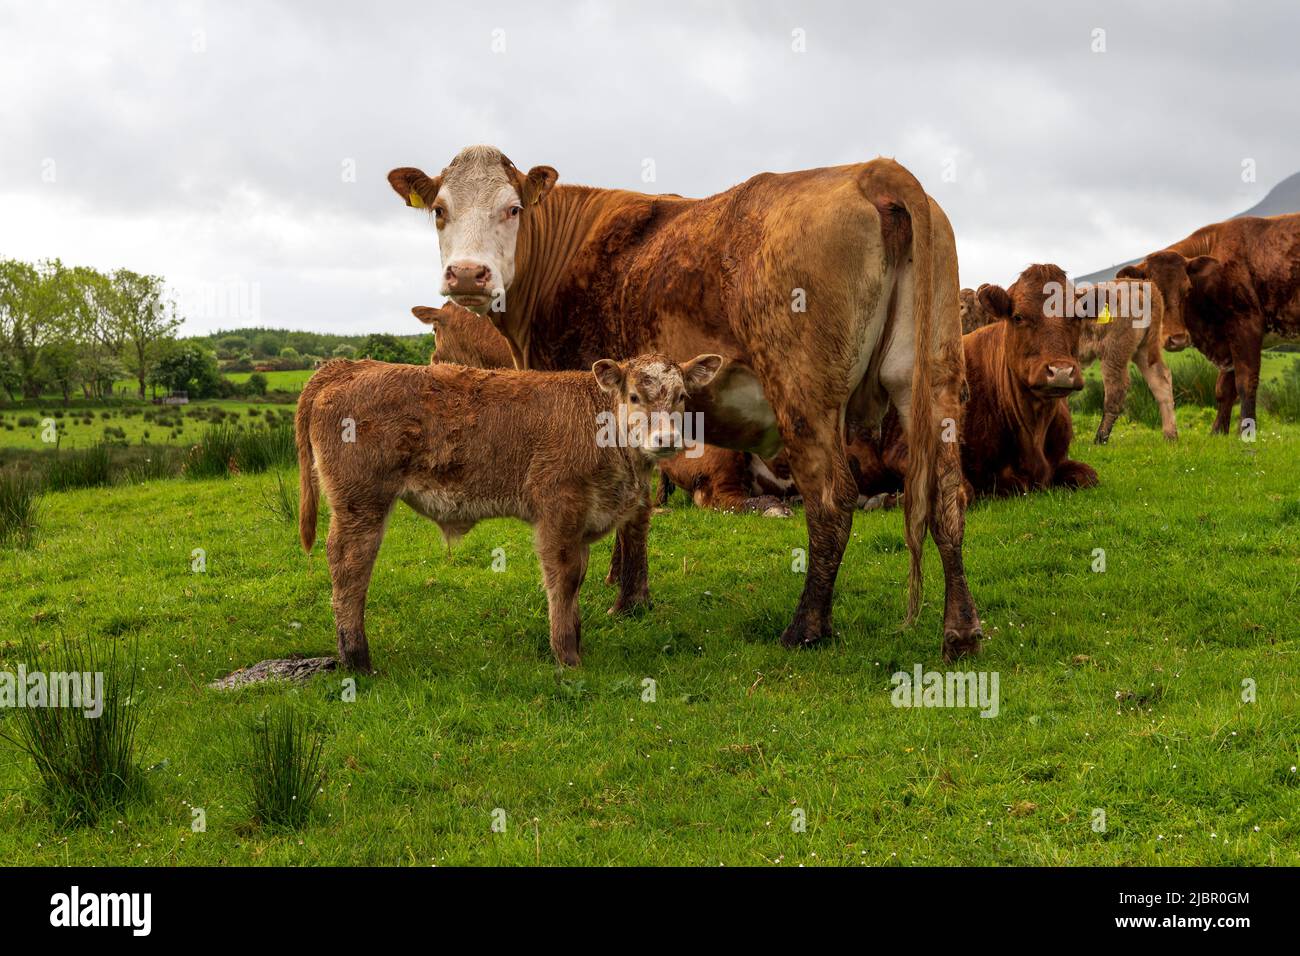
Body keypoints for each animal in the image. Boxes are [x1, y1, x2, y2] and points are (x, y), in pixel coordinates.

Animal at [390, 145, 977, 660]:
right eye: (440, 210)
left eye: (512, 208)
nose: (469, 273)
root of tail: (873, 170)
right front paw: (621, 582)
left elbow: (634, 512)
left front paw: (627, 598)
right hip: (934, 381)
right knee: (948, 496)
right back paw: (961, 632)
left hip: (804, 397)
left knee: (833, 500)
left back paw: (806, 628)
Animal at [1118, 214, 1300, 437]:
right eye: (1153, 291)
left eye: (1187, 289)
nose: (1177, 338)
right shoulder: (1229, 341)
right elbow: (1224, 389)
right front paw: (1218, 432)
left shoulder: (1246, 327)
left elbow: (1245, 383)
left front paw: (1245, 432)